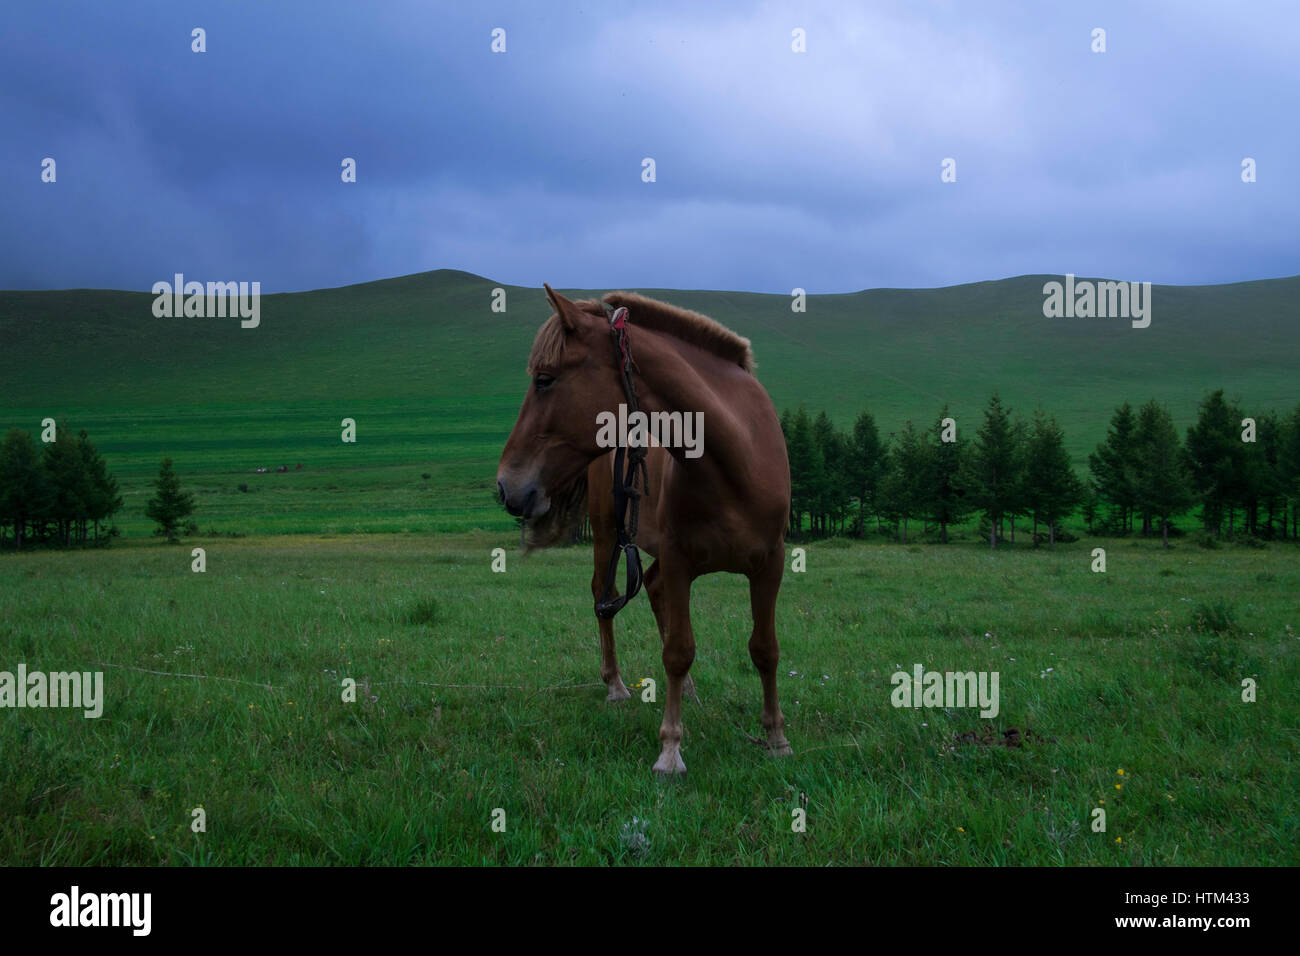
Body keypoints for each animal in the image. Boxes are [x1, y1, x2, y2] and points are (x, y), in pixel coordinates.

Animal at [496, 283, 790, 780]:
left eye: (545, 379)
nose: (506, 486)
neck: (735, 460)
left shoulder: (770, 565)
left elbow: (764, 649)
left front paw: (775, 736)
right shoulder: (678, 560)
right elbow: (678, 650)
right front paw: (670, 749)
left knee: (649, 589)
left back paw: (686, 689)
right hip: (608, 536)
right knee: (605, 595)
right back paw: (615, 685)